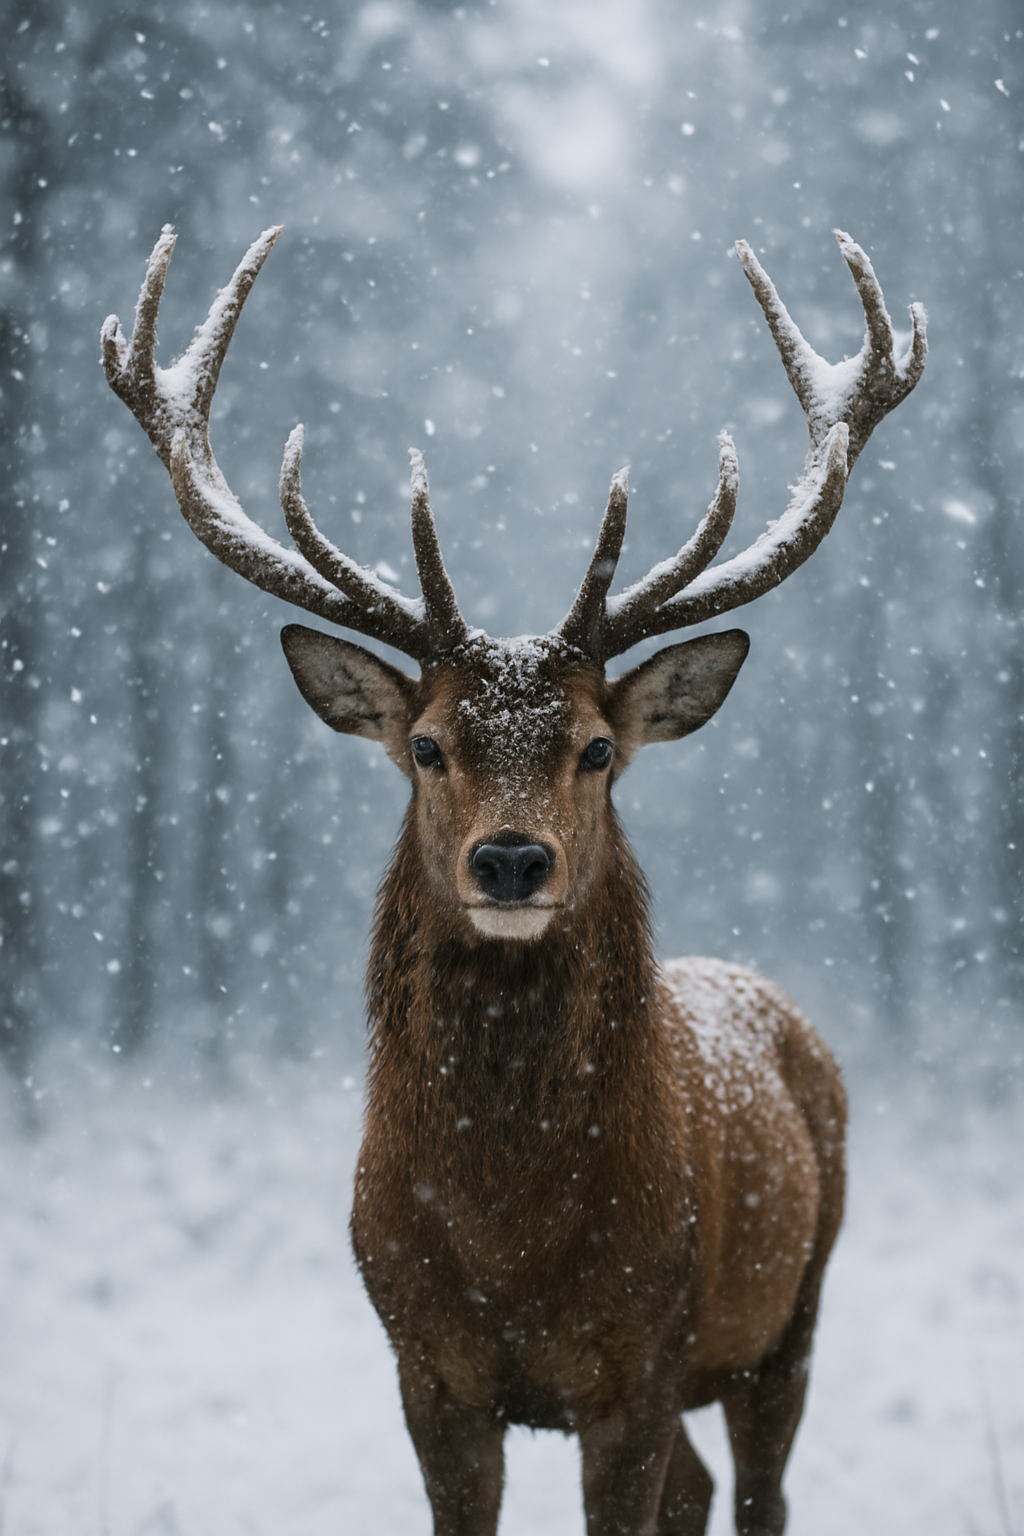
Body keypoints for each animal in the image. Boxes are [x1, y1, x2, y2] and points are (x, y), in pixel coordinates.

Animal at [102, 226, 926, 1536]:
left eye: (593, 748)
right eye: (429, 744)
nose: (509, 858)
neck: (511, 1246)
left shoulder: (640, 1357)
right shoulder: (423, 1365)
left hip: (787, 1311)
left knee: (759, 1492)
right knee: (705, 1489)